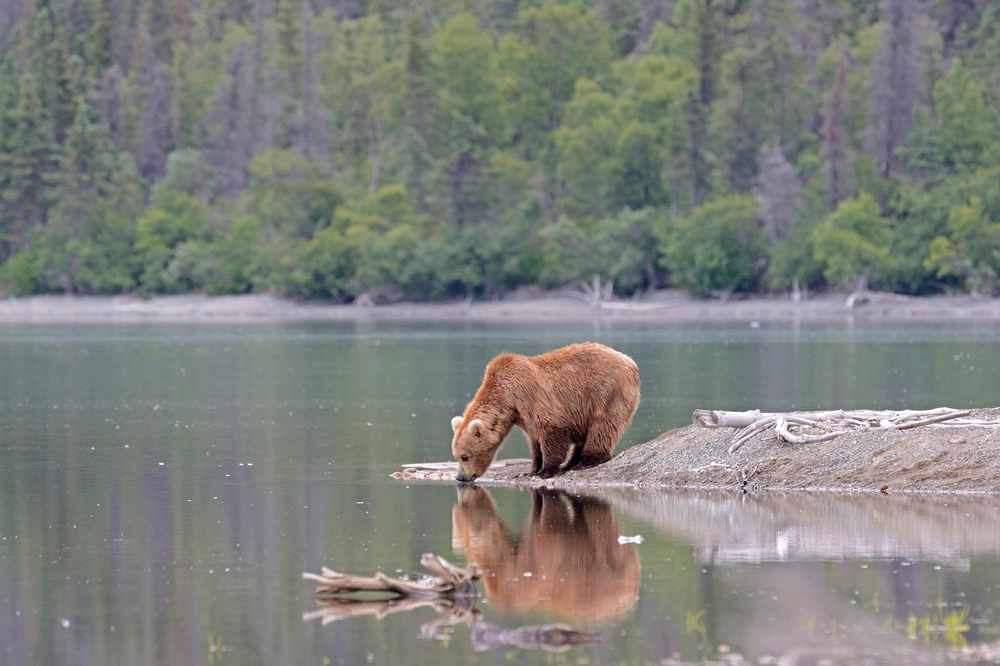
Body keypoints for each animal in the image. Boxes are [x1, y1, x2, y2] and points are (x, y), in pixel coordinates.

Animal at [450, 342, 636, 478]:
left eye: (465, 457)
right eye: (456, 456)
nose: (460, 477)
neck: (507, 398)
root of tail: (629, 360)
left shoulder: (530, 397)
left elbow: (551, 431)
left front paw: (545, 471)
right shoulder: (522, 416)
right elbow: (534, 440)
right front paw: (530, 470)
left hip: (606, 393)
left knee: (602, 426)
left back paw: (586, 462)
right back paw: (572, 462)